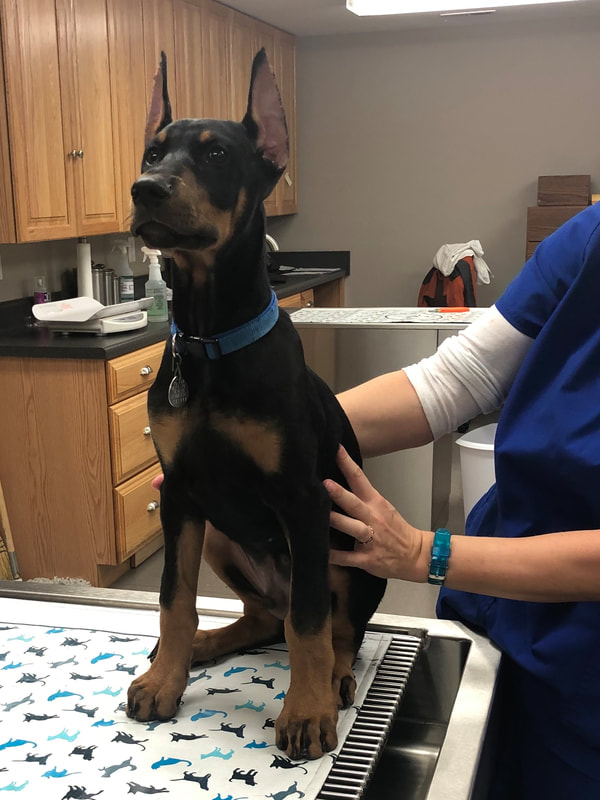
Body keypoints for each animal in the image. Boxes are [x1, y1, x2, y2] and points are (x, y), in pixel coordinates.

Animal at [128, 47, 386, 760]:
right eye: (152, 152)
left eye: (217, 155)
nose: (144, 190)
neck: (213, 341)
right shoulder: (181, 492)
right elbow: (174, 597)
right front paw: (164, 679)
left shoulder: (303, 498)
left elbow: (309, 622)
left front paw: (305, 710)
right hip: (221, 534)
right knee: (264, 615)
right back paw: (204, 646)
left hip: (349, 548)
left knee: (334, 626)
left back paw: (336, 681)